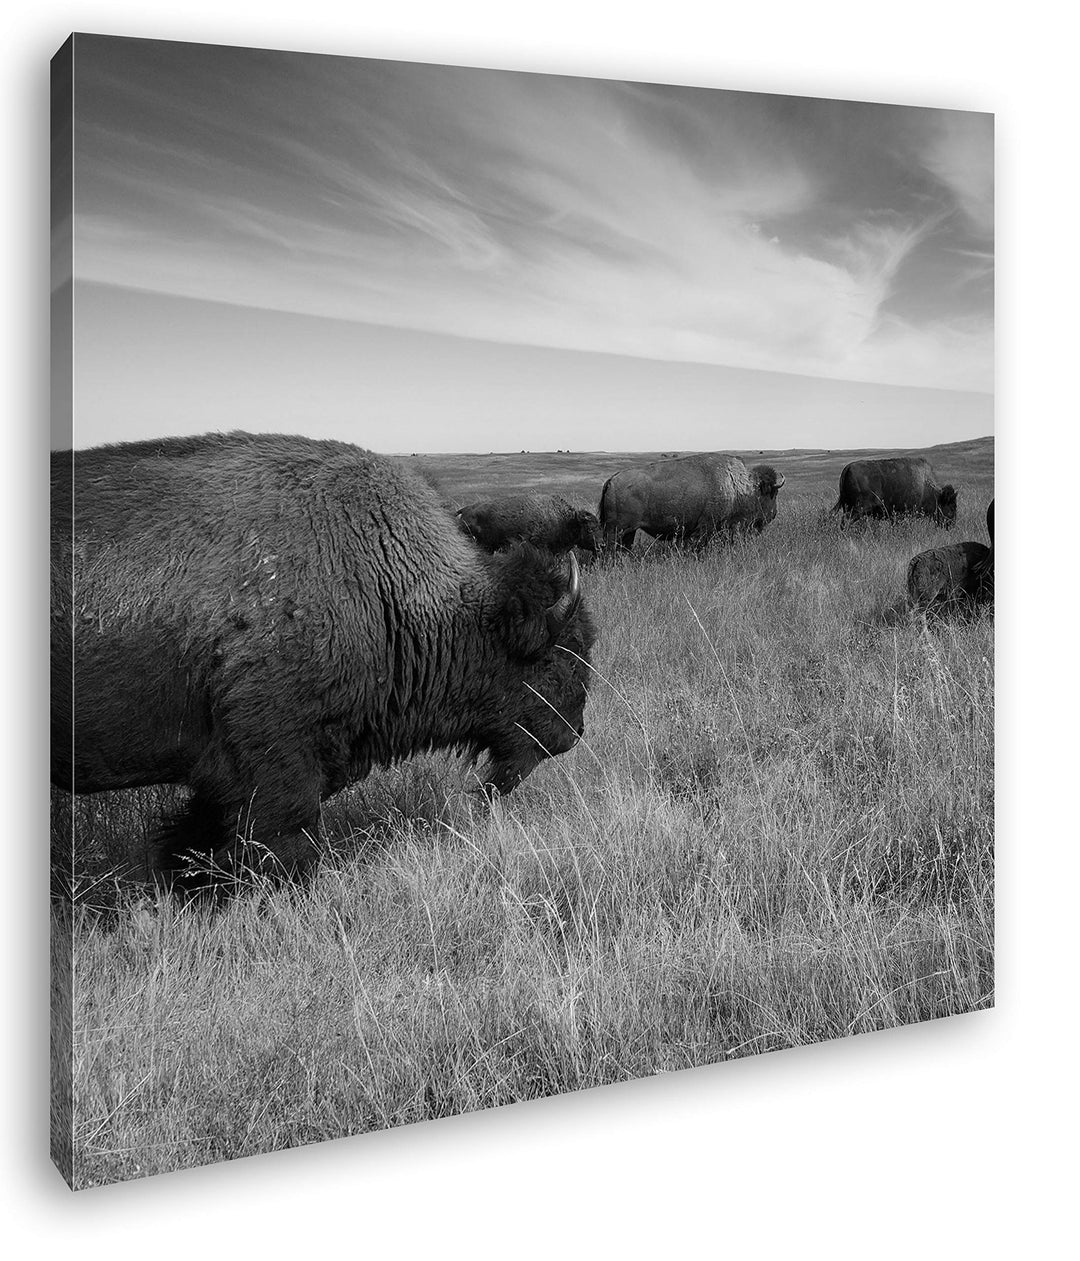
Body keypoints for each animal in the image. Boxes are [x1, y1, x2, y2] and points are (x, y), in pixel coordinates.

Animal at [599, 454, 785, 552]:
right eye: (773, 493)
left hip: (629, 531)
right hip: (615, 530)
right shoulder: (705, 527)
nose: (774, 514)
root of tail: (611, 480)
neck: (737, 487)